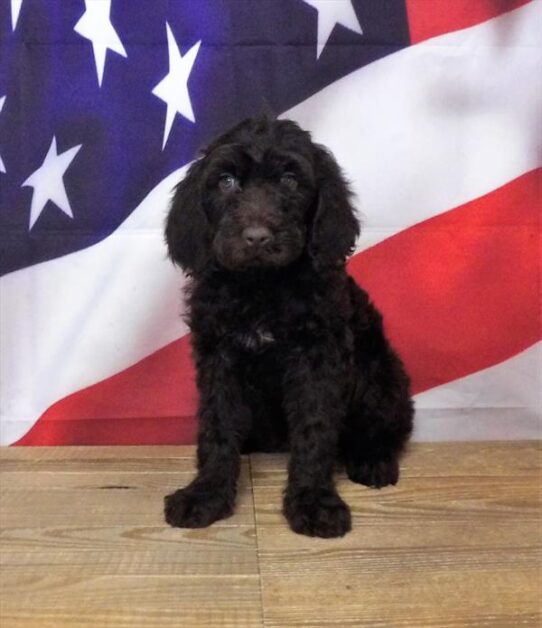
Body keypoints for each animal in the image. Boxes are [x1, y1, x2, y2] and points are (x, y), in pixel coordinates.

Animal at [164, 119, 414, 540]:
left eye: (290, 180)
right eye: (226, 181)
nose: (257, 237)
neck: (262, 287)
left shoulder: (317, 358)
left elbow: (315, 429)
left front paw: (314, 502)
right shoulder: (220, 357)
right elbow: (217, 427)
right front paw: (206, 494)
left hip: (379, 371)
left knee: (387, 423)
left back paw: (373, 459)